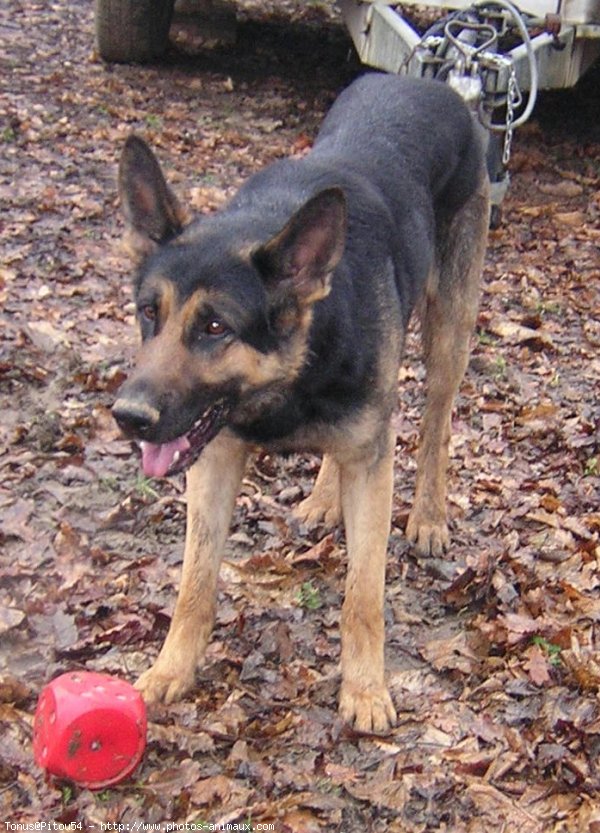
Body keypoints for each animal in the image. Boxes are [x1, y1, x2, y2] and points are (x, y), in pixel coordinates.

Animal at [111, 75, 488, 732]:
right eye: (148, 313)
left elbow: (363, 594)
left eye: (214, 327)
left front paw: (365, 689)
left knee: (436, 422)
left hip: (449, 330)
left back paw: (429, 515)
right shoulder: (214, 460)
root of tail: (437, 83)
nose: (127, 417)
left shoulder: (373, 463)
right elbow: (194, 582)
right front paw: (170, 669)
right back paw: (323, 497)